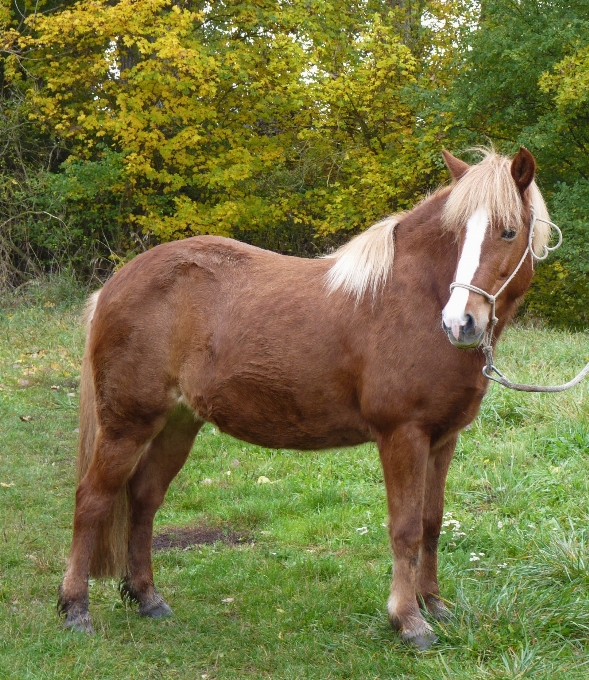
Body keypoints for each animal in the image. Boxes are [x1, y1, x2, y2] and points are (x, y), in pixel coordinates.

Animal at [58, 147, 552, 648]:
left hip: (177, 425)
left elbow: (431, 523)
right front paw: (408, 620)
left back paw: (147, 597)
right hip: (127, 425)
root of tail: (114, 285)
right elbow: (406, 528)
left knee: (143, 499)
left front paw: (434, 604)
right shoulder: (403, 436)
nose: (460, 322)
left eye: (508, 232)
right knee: (93, 499)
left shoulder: (442, 439)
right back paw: (75, 608)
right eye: (456, 235)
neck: (414, 298)